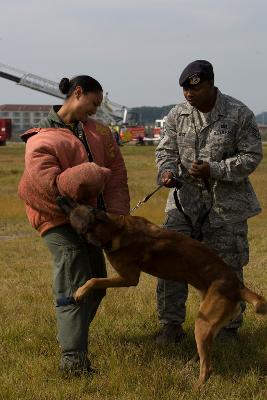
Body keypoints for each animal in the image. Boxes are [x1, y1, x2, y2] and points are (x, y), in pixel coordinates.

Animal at [57, 195, 267, 390]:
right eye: (78, 202)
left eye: (74, 207)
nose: (60, 197)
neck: (115, 229)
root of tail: (237, 286)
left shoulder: (129, 278)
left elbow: (95, 280)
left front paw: (80, 292)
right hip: (209, 325)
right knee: (206, 355)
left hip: (203, 323)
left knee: (208, 368)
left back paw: (195, 388)